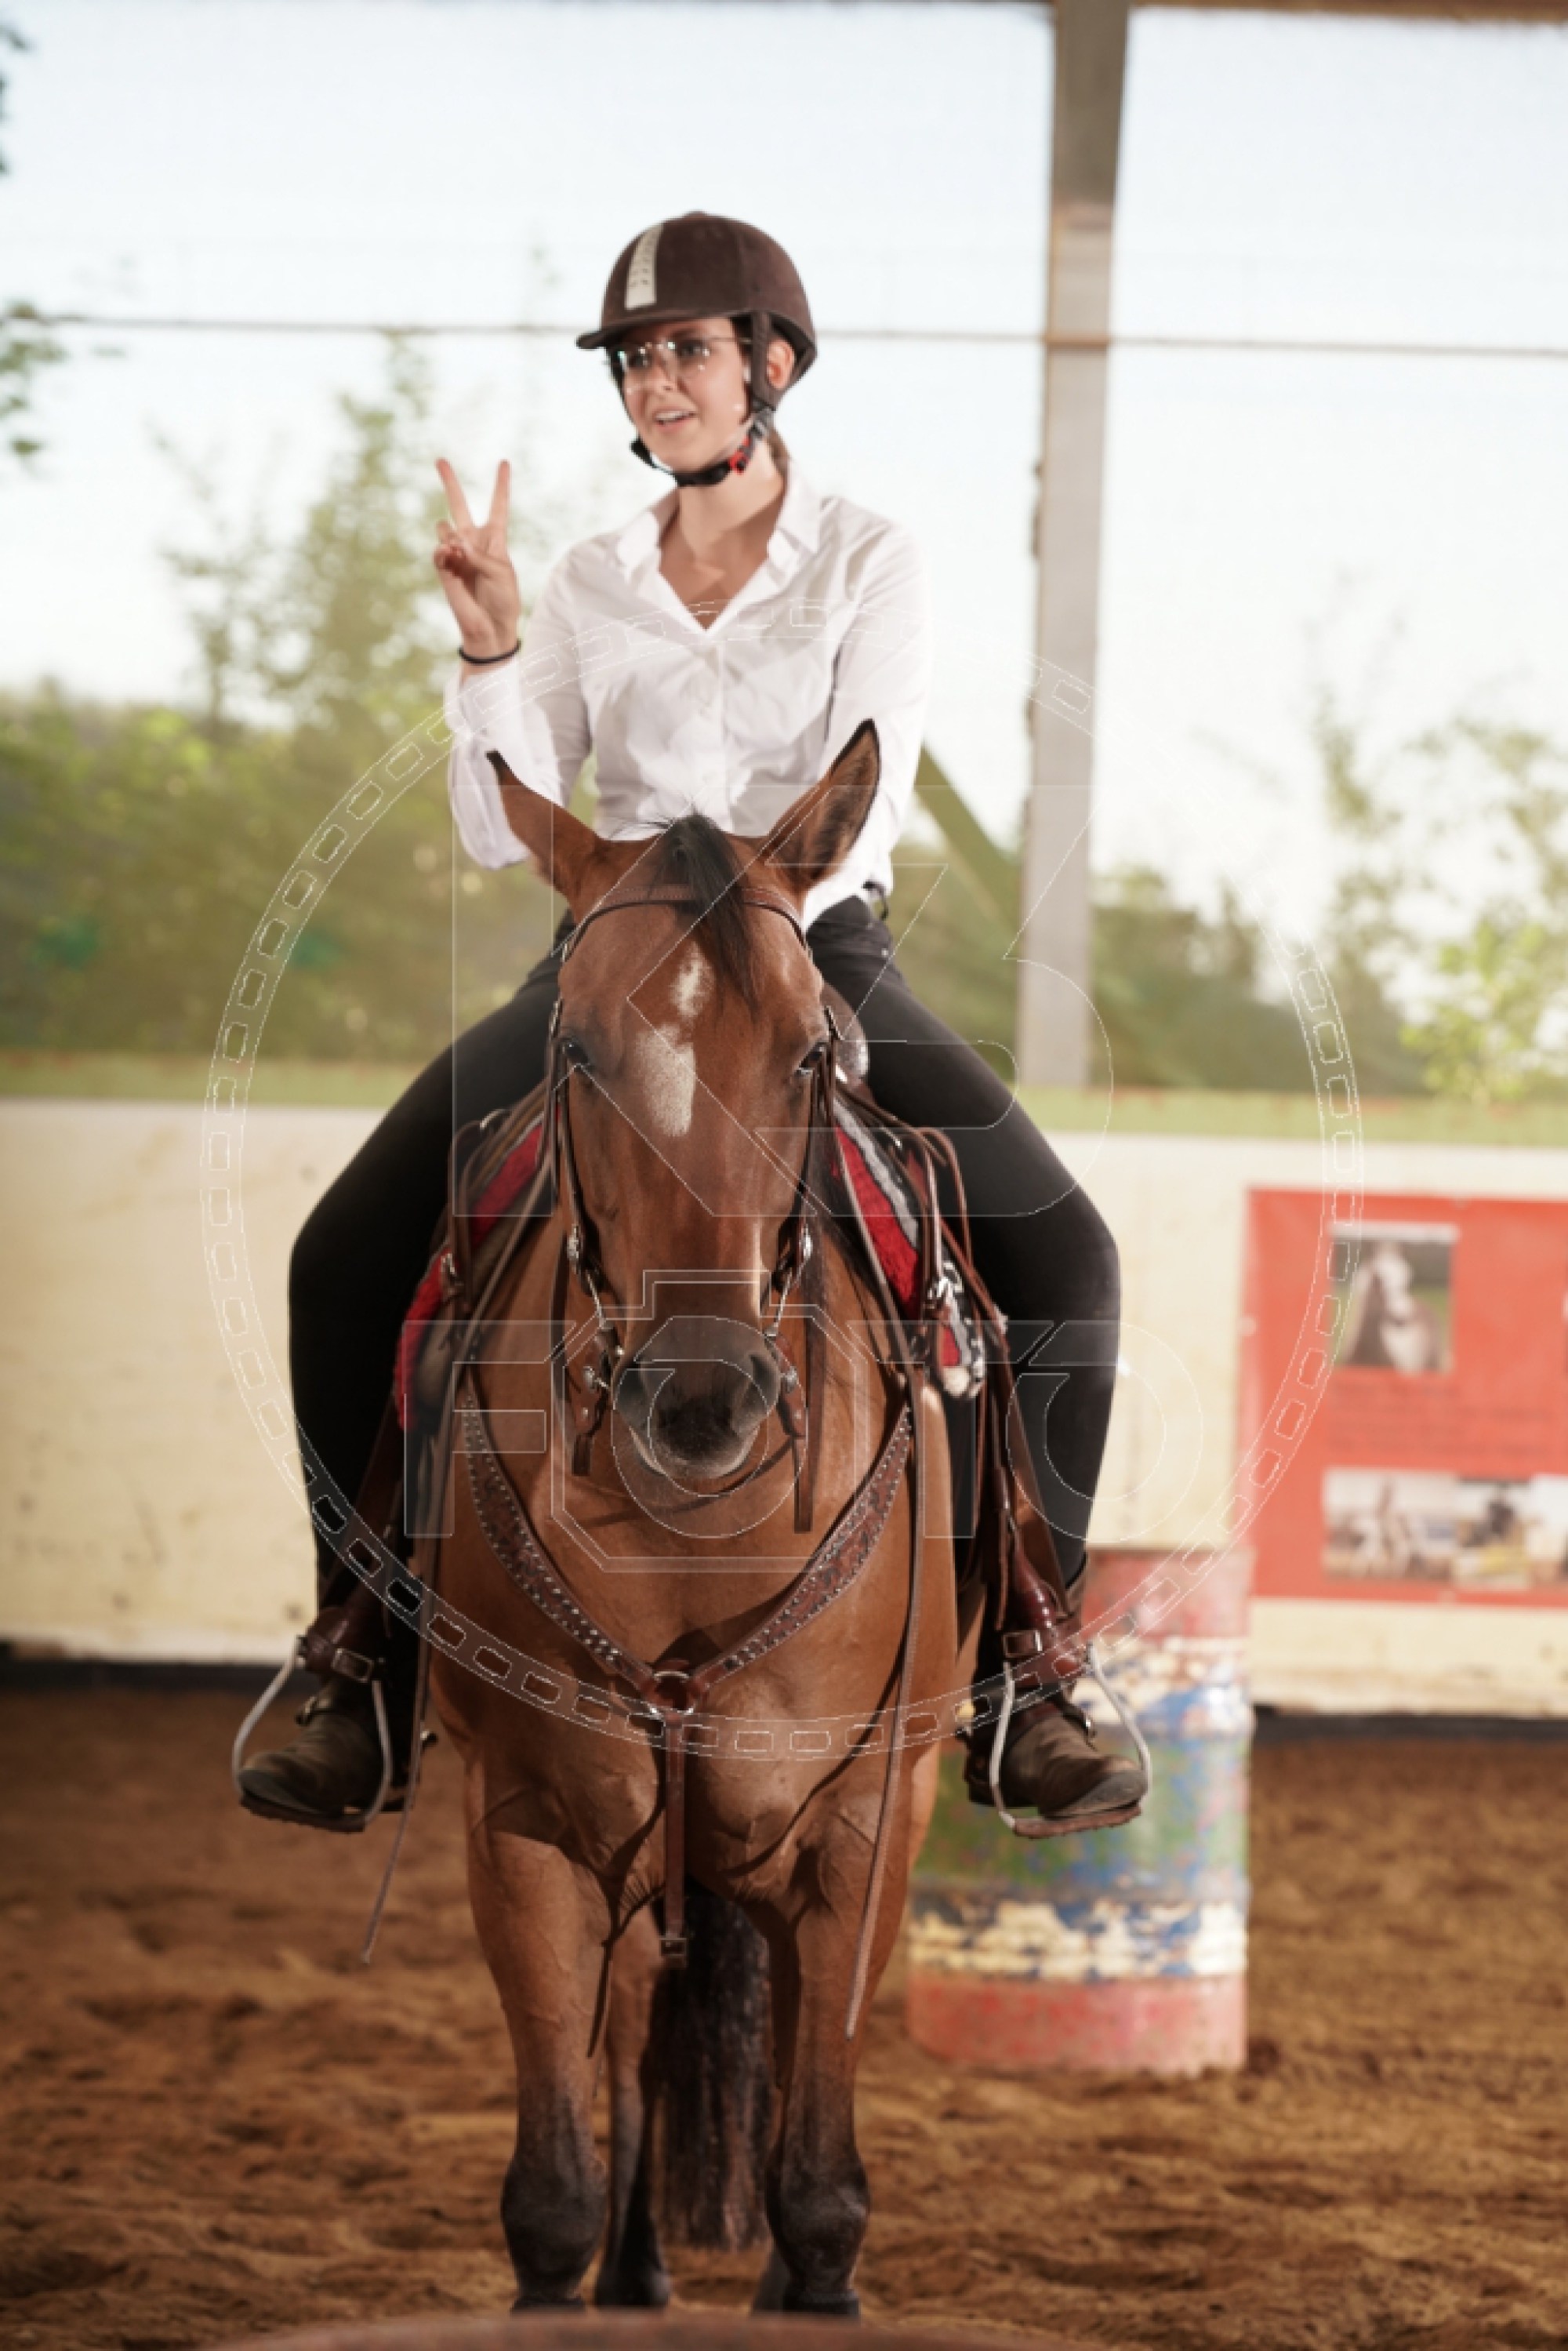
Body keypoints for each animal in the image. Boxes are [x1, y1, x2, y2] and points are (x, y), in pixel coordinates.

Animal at [425, 720, 960, 2316]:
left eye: (810, 1050)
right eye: (577, 1051)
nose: (704, 1394)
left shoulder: (866, 1821)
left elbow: (822, 2191)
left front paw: (808, 2269)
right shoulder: (527, 1820)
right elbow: (548, 2196)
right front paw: (592, 2257)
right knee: (633, 2042)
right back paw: (642, 2265)